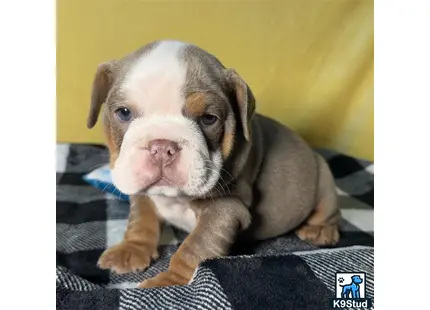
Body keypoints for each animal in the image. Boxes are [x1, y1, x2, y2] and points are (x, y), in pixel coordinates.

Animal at [87, 40, 340, 286]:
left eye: (209, 118)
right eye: (124, 113)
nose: (162, 147)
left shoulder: (225, 209)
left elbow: (195, 247)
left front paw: (169, 282)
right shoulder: (143, 193)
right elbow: (141, 220)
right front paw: (131, 249)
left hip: (324, 178)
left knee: (328, 208)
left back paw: (320, 229)